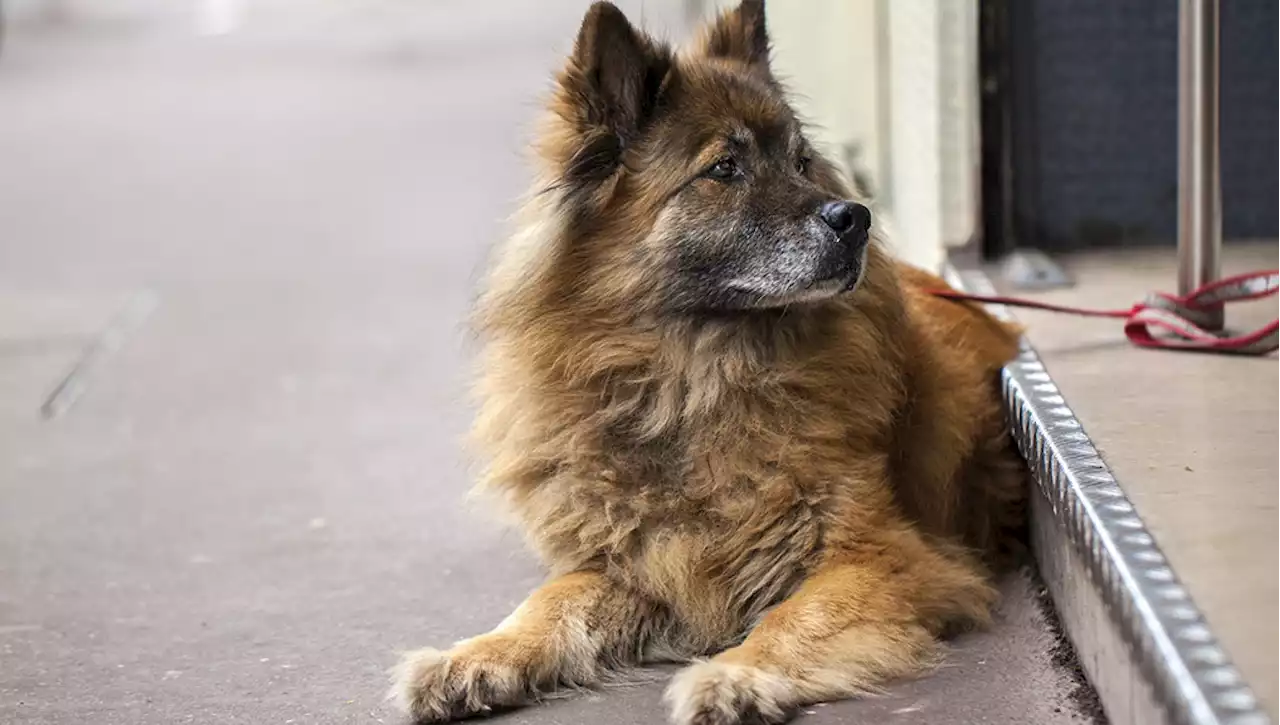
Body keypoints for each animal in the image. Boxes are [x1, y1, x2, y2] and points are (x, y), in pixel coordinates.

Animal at [389, 2, 1018, 722]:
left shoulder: (882, 557)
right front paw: (471, 656)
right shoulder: (632, 562)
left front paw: (734, 674)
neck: (691, 378)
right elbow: (547, 603)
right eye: (724, 169)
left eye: (801, 162)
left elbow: (792, 618)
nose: (855, 217)